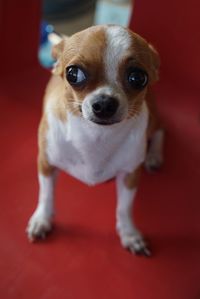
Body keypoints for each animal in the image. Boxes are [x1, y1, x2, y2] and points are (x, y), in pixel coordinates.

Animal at [27, 24, 164, 256]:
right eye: (73, 74)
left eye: (138, 78)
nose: (105, 103)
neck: (95, 136)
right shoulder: (46, 164)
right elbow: (45, 194)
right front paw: (42, 219)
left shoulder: (130, 175)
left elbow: (124, 208)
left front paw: (129, 233)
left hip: (153, 119)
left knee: (160, 131)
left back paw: (154, 155)